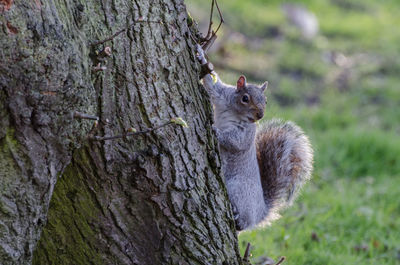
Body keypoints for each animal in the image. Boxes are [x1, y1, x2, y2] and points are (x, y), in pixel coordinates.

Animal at [195, 44, 314, 230]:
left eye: (265, 100)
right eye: (245, 98)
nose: (260, 115)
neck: (236, 112)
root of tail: (260, 212)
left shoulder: (246, 133)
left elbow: (236, 142)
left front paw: (216, 131)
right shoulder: (222, 95)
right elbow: (211, 84)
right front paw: (201, 57)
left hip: (239, 190)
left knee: (245, 222)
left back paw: (239, 219)